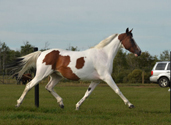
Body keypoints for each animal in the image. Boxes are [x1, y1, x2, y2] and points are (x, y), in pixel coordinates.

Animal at [11, 28, 140, 109]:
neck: (104, 55)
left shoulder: (96, 80)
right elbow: (117, 90)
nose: (139, 52)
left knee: (49, 87)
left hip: (56, 76)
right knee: (29, 86)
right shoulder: (106, 77)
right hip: (41, 75)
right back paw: (17, 104)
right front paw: (130, 105)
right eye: (131, 39)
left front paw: (77, 106)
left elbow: (87, 93)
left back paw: (61, 104)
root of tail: (42, 53)